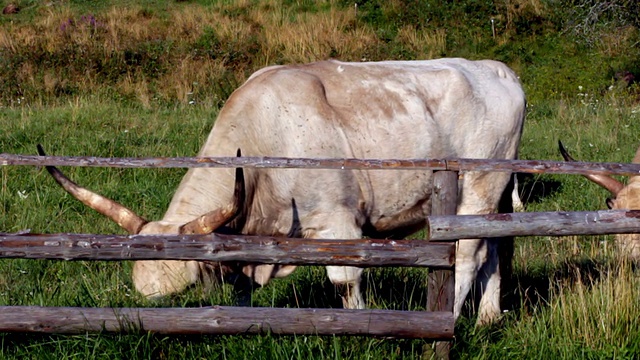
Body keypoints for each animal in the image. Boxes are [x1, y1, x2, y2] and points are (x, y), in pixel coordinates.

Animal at [42, 58, 528, 324]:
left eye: (180, 298)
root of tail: (494, 69)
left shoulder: (337, 223)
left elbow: (346, 284)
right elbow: (240, 289)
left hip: (479, 188)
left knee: (468, 256)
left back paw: (453, 318)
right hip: (495, 196)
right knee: (495, 247)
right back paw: (488, 317)